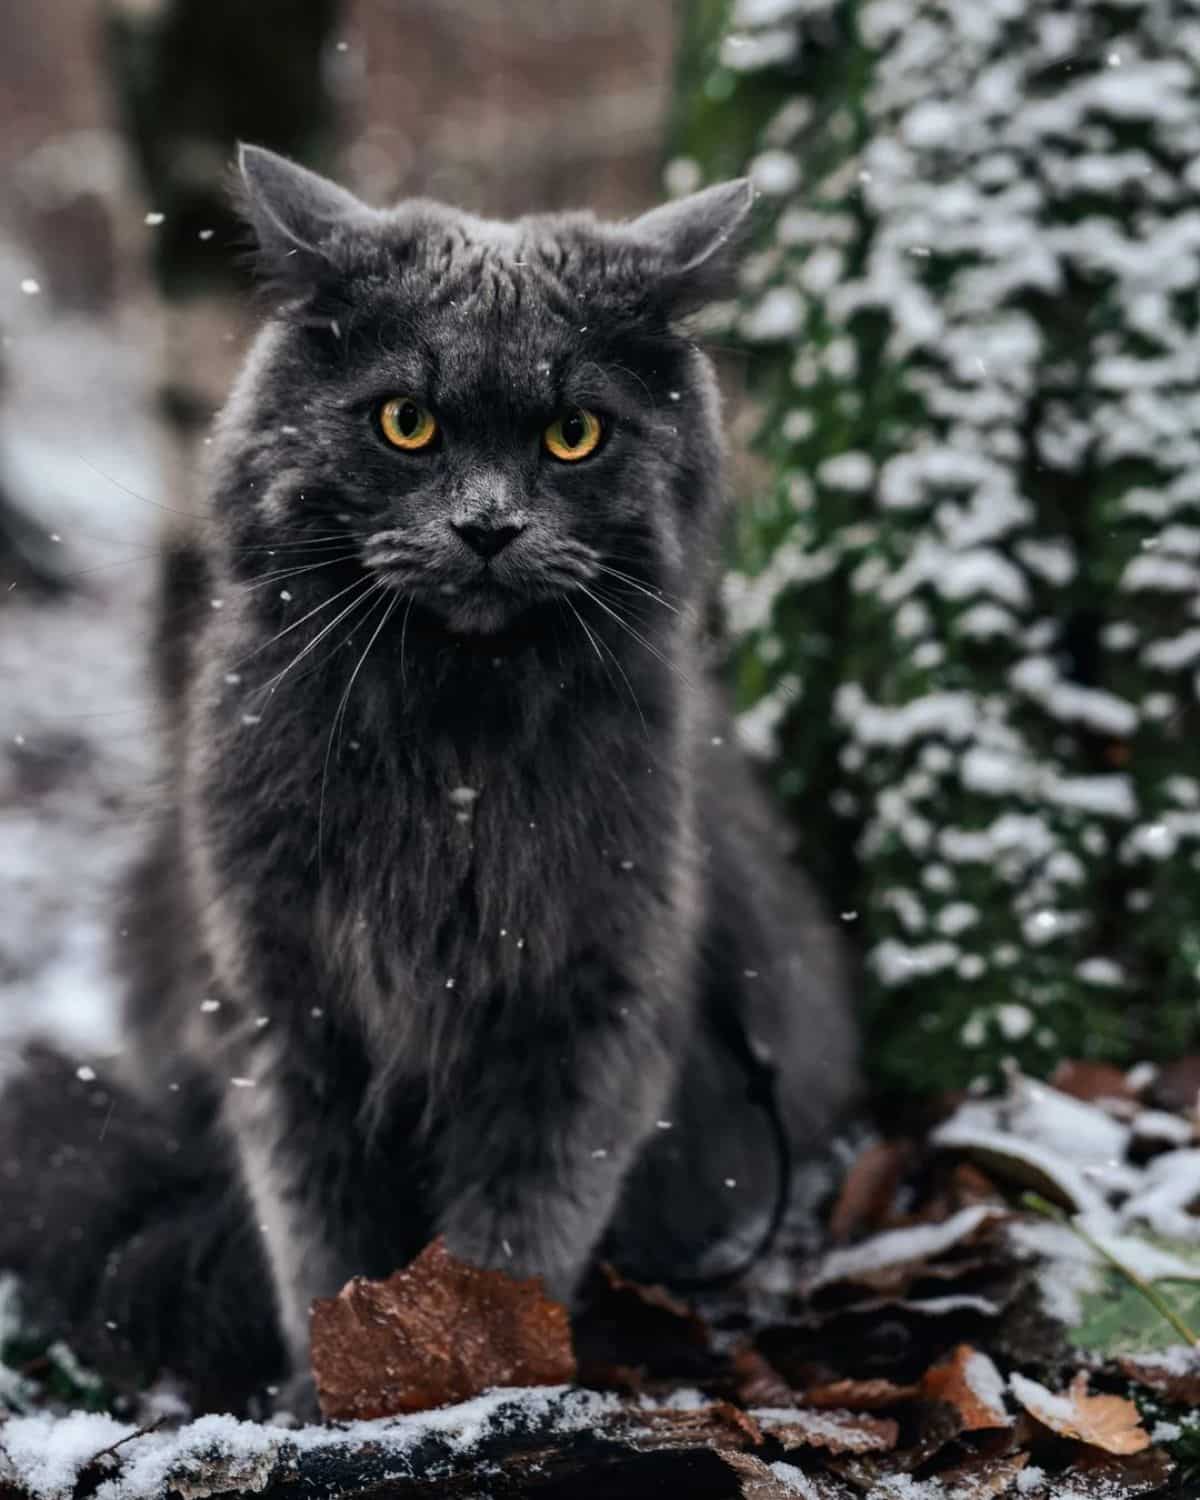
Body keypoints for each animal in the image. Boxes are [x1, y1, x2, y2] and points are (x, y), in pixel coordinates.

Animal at [2, 146, 864, 1410]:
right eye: (405, 423)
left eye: (573, 433)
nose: (488, 527)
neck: (454, 751)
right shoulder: (282, 1005)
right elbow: (320, 1234)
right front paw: (334, 1392)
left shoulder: (592, 1002)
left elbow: (517, 1228)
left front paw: (483, 1376)